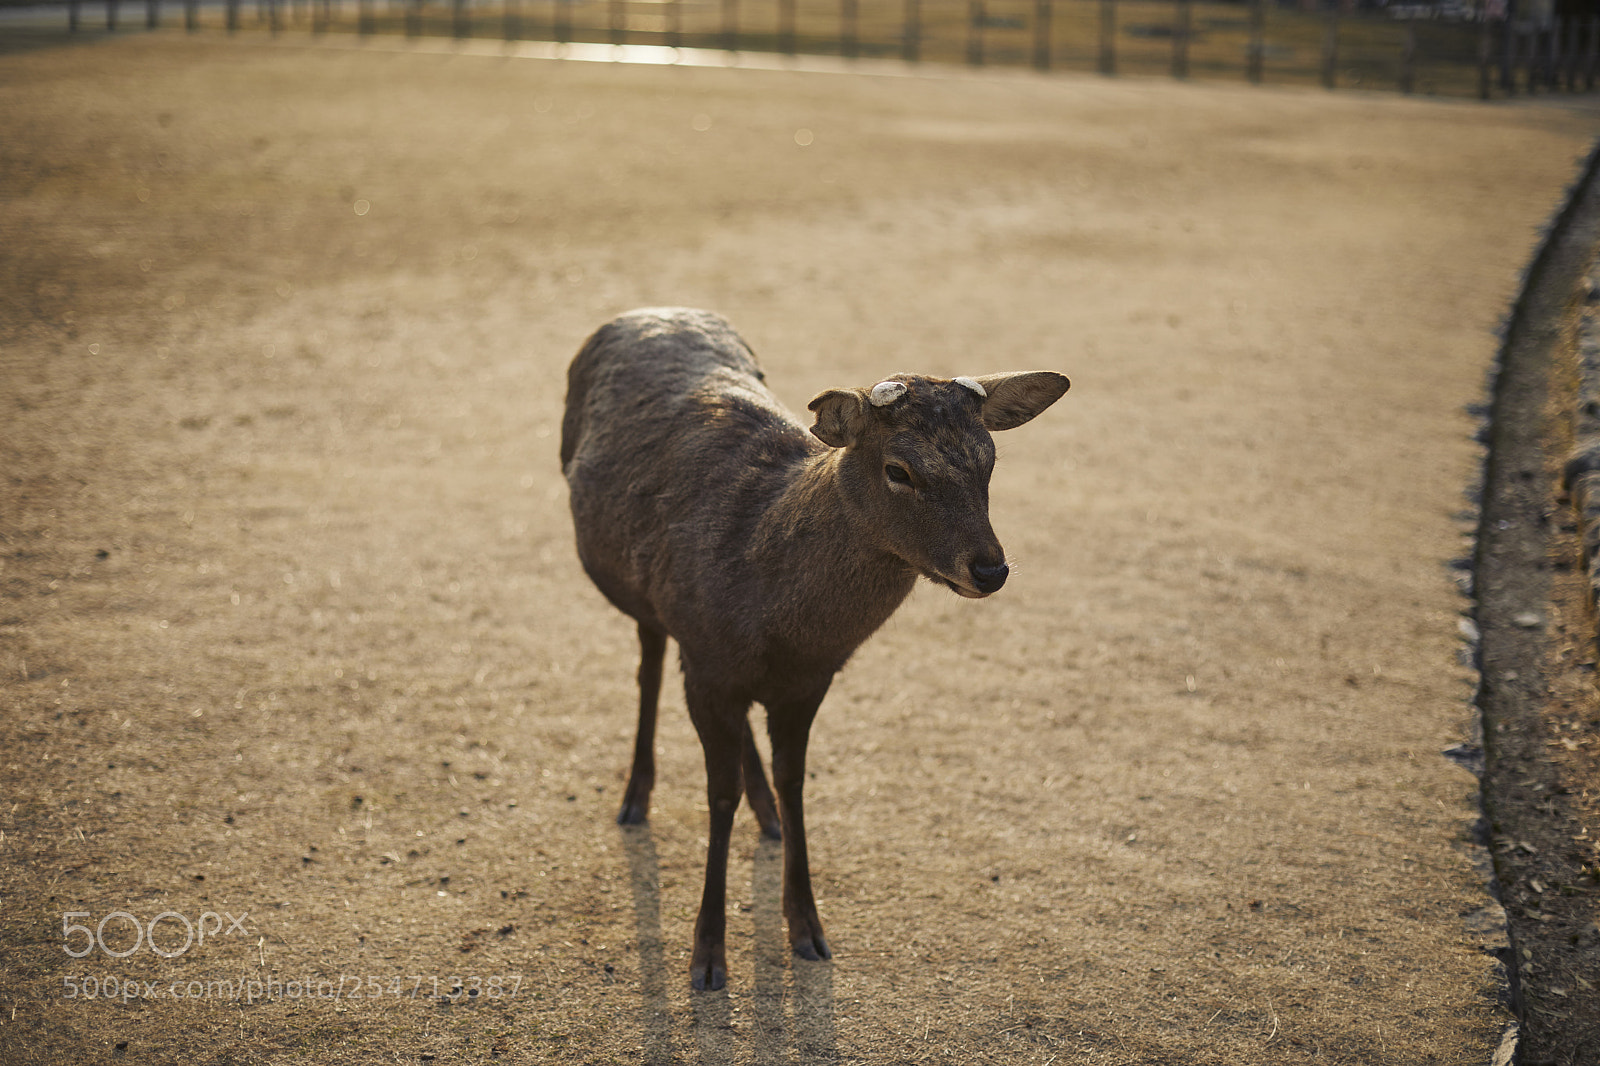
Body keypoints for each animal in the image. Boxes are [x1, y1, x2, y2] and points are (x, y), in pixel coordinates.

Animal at [559, 307, 1069, 991]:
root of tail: (637, 313)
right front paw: (708, 956)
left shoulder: (809, 679)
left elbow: (794, 781)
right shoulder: (707, 664)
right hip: (647, 602)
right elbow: (716, 797)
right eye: (899, 470)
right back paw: (636, 797)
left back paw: (765, 813)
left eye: (988, 462)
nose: (990, 569)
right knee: (649, 665)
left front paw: (807, 926)